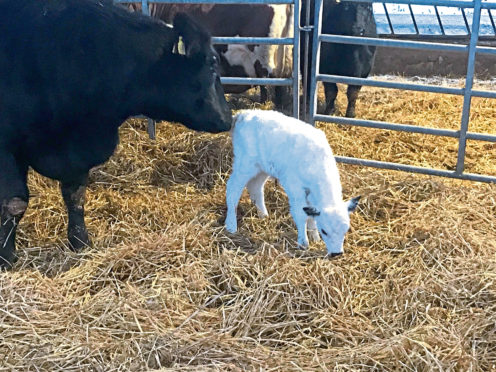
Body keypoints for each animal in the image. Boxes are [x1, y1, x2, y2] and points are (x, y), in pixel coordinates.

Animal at [0, 0, 232, 268]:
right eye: (212, 64)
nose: (228, 118)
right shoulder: (7, 148)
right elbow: (15, 203)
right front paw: (6, 256)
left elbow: (75, 196)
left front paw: (81, 243)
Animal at [226, 110, 360, 256]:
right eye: (324, 231)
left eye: (346, 229)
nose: (337, 253)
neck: (317, 163)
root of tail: (243, 114)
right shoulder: (295, 187)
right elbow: (301, 214)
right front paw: (303, 242)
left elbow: (311, 214)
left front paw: (315, 238)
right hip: (244, 164)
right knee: (232, 189)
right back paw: (231, 225)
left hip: (262, 168)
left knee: (256, 187)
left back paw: (263, 215)